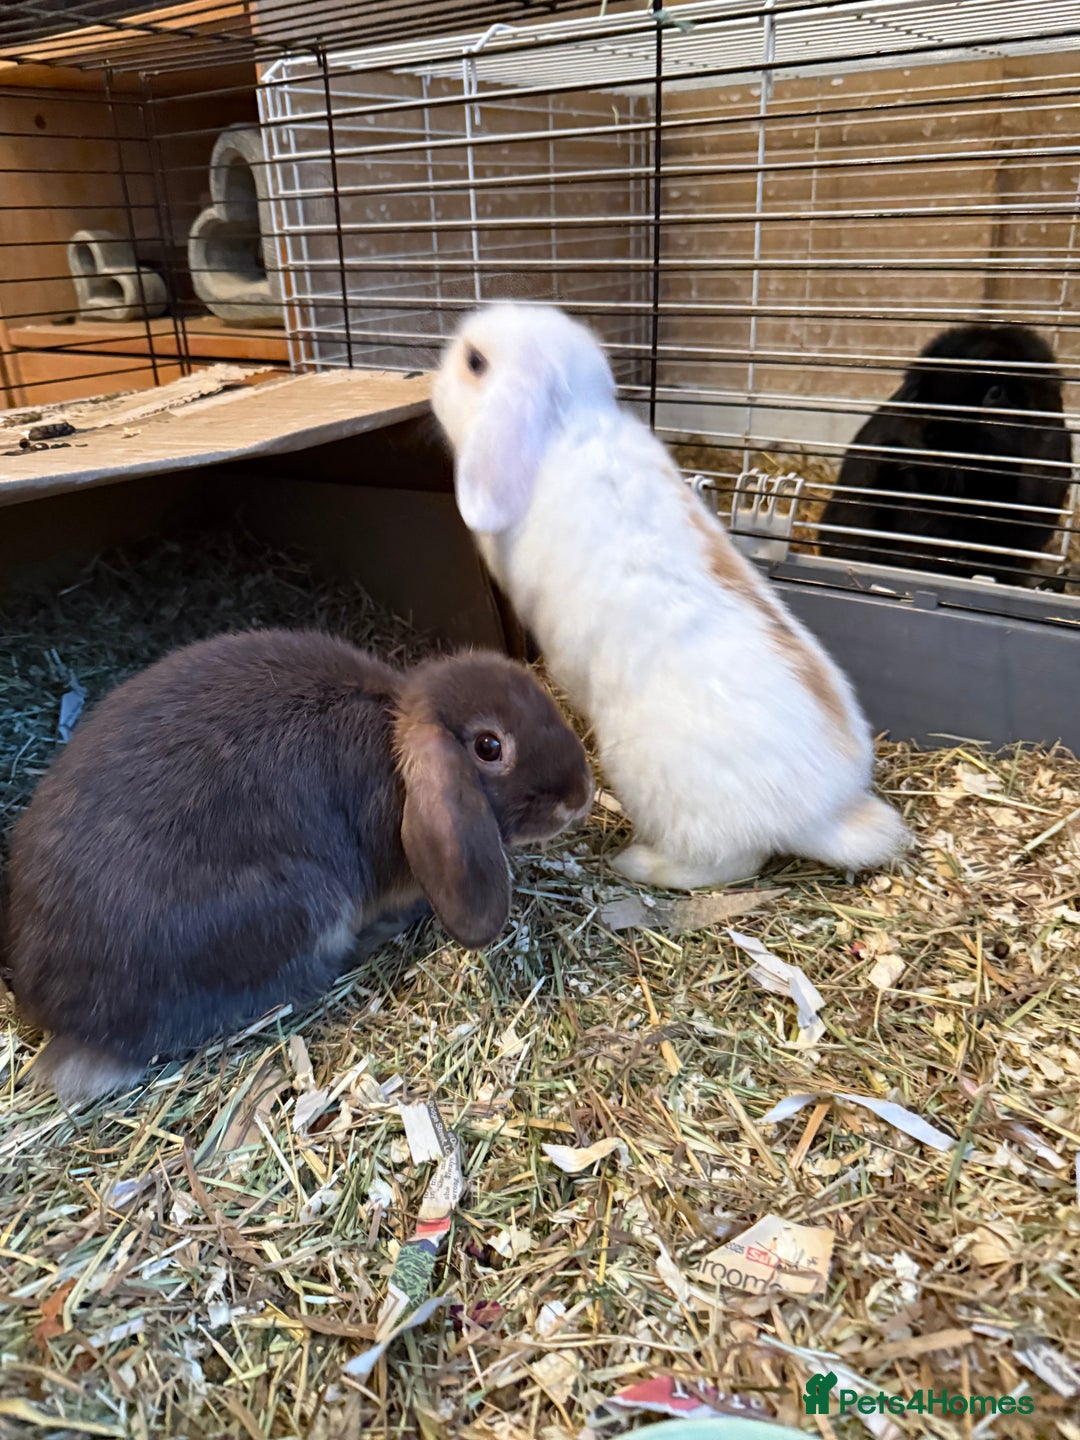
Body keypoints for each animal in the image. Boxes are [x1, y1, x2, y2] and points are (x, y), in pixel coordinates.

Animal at [432, 302, 909, 893]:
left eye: (475, 362)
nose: (431, 381)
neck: (569, 421)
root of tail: (822, 813)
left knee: (728, 863)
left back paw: (637, 863)